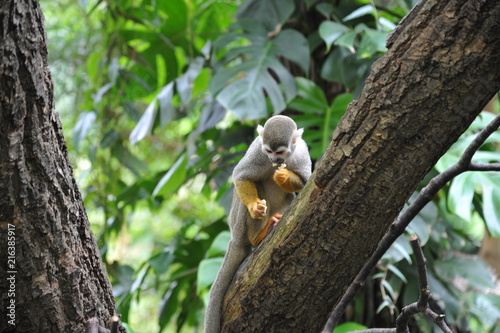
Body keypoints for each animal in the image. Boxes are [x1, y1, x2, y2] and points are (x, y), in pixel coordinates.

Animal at [203, 115, 308, 332]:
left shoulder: (302, 153)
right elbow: (241, 176)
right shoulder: (258, 153)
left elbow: (305, 182)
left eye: (280, 152)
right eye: (268, 151)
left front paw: (284, 176)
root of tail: (234, 237)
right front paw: (254, 206)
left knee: (290, 196)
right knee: (255, 184)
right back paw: (257, 236)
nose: (274, 161)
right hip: (237, 224)